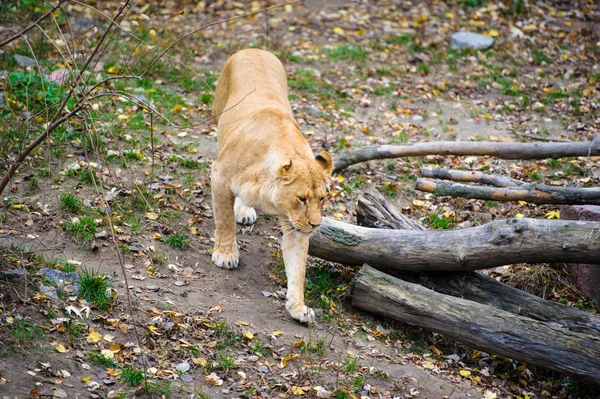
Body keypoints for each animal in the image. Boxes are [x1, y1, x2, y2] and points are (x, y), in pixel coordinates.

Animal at [210, 49, 332, 324]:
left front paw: (298, 307)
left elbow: (298, 267)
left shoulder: (296, 227)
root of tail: (255, 49)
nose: (316, 225)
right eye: (302, 198)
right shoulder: (220, 175)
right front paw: (226, 255)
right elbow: (224, 220)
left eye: (322, 199)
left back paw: (245, 210)